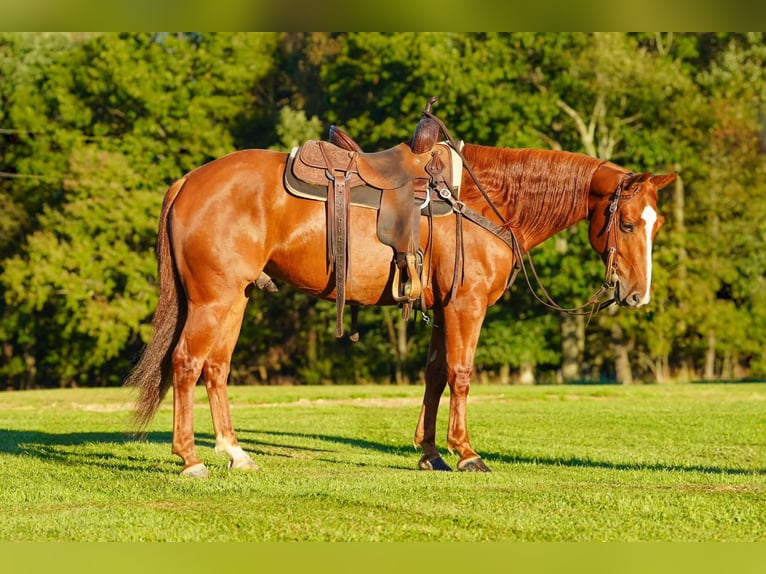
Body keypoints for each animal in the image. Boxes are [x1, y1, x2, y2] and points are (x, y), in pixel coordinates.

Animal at [126, 136, 676, 477]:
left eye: (658, 223)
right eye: (628, 223)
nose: (637, 294)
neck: (486, 201)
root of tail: (189, 180)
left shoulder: (443, 309)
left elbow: (433, 376)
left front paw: (430, 453)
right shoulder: (466, 306)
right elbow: (460, 374)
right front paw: (466, 453)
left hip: (235, 299)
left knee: (215, 369)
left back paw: (235, 453)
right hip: (212, 299)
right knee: (186, 364)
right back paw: (191, 459)